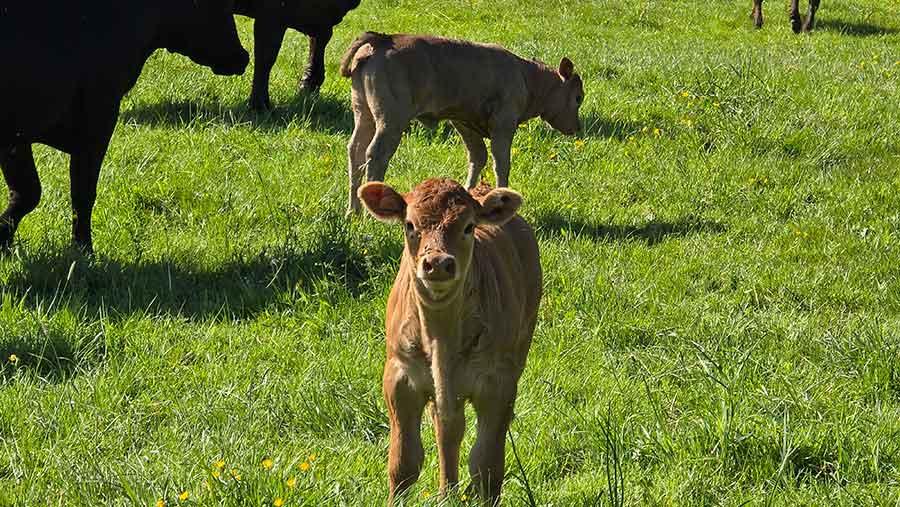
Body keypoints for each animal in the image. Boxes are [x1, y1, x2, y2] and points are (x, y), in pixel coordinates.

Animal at [0, 0, 249, 253]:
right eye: (221, 5)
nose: (243, 57)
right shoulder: (98, 117)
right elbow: (79, 191)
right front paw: (84, 249)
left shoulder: (17, 136)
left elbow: (28, 190)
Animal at [341, 32, 584, 214]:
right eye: (578, 97)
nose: (577, 127)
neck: (526, 76)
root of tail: (382, 40)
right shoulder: (503, 125)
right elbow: (501, 164)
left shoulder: (464, 123)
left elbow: (478, 156)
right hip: (391, 121)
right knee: (376, 154)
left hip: (363, 113)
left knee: (356, 150)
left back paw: (353, 211)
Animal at [358, 178, 542, 506]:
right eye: (409, 224)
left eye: (468, 226)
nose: (438, 263)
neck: (441, 339)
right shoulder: (399, 377)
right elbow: (403, 463)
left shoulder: (498, 384)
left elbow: (486, 464)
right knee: (447, 427)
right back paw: (448, 491)